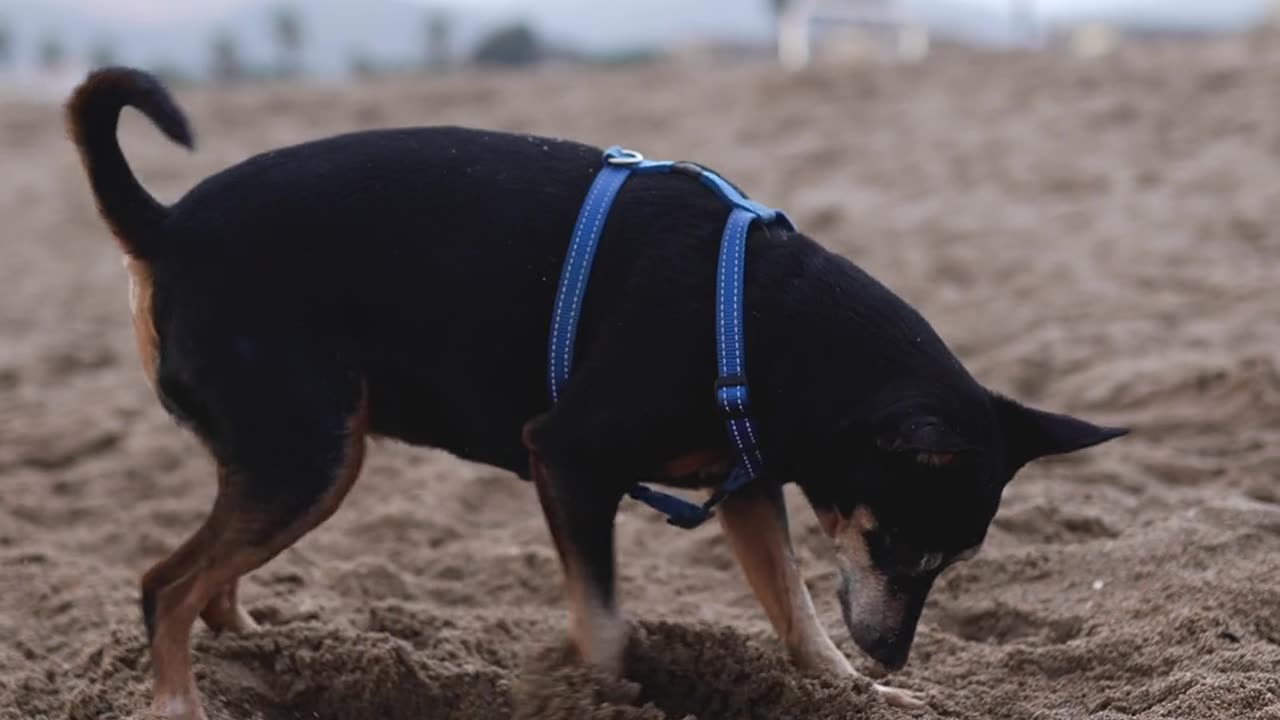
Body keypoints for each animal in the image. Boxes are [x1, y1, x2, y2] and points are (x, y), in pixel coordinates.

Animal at [67, 68, 1121, 717]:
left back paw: (266, 655)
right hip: (313, 456)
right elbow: (607, 627)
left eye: (954, 562)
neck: (760, 319)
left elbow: (798, 615)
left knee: (212, 579)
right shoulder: (569, 461)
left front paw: (856, 695)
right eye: (898, 545)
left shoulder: (747, 490)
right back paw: (183, 699)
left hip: (294, 457)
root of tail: (163, 227)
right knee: (164, 586)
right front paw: (607, 698)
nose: (896, 654)